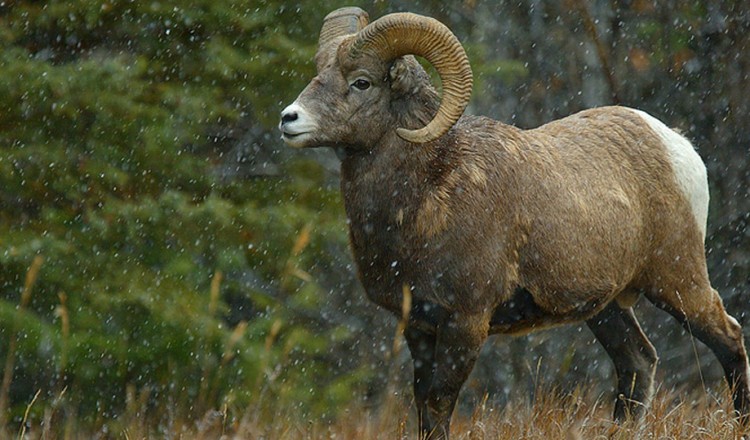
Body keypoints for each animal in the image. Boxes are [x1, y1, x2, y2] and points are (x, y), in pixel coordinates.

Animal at [280, 6, 750, 436]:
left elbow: (438, 403)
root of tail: (677, 145)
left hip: (677, 280)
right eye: (319, 73)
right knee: (637, 361)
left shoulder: (466, 322)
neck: (426, 193)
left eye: (362, 82)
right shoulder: (417, 326)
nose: (289, 119)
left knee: (727, 336)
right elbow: (423, 407)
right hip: (608, 307)